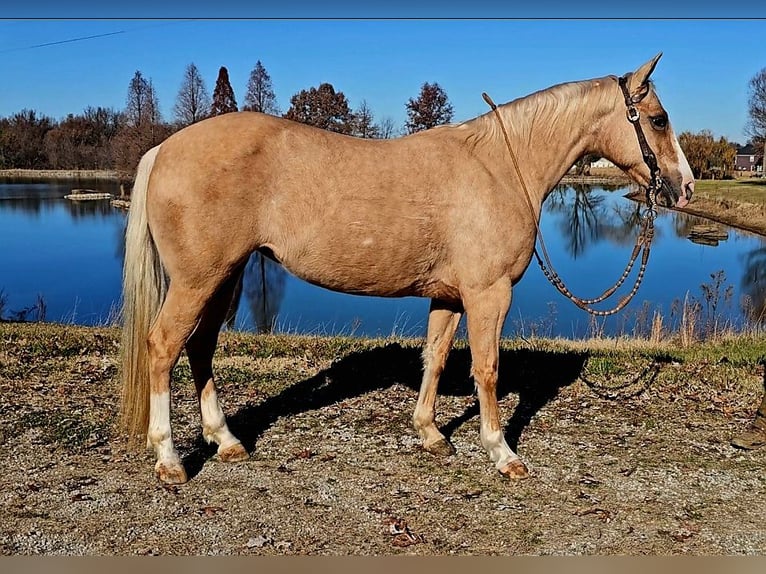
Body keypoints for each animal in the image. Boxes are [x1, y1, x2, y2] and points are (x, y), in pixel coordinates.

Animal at [118, 54, 696, 486]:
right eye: (659, 119)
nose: (685, 187)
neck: (501, 167)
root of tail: (164, 148)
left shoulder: (450, 296)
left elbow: (435, 358)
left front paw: (430, 434)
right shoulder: (488, 295)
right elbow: (487, 368)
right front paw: (502, 452)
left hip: (224, 277)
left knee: (200, 347)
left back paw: (227, 441)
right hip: (198, 280)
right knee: (164, 347)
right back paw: (170, 460)